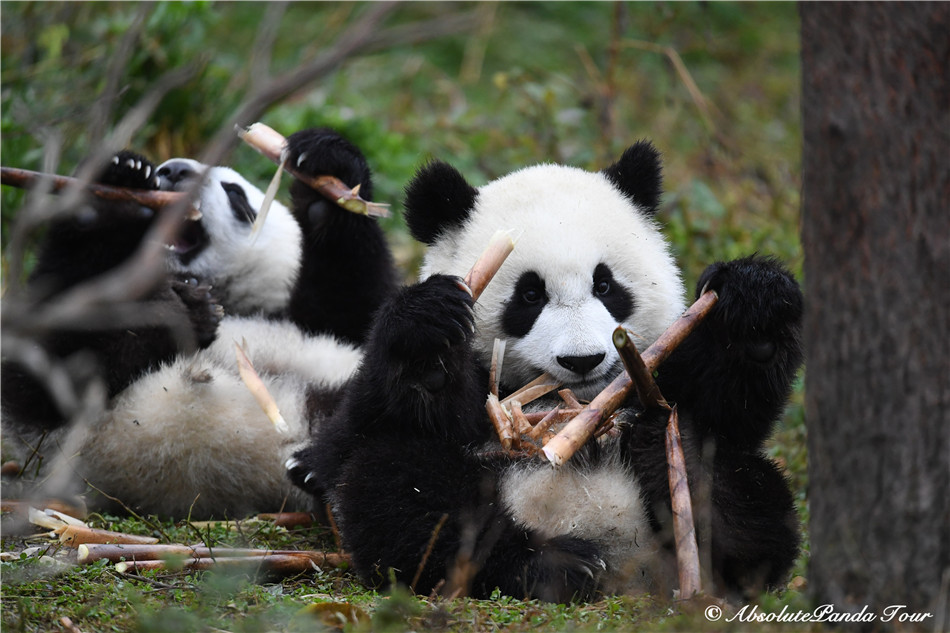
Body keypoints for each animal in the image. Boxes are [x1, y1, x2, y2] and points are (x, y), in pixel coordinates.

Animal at [0, 128, 394, 520]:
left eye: (235, 194)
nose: (175, 171)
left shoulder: (309, 315)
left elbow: (358, 303)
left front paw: (329, 172)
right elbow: (50, 365)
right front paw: (119, 188)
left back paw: (318, 464)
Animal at [292, 143, 804, 604]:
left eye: (605, 285)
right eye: (530, 295)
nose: (583, 360)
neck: (571, 403)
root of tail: (623, 555)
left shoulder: (668, 370)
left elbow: (730, 403)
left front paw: (753, 304)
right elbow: (356, 434)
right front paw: (428, 341)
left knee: (752, 497)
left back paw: (674, 464)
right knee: (401, 495)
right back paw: (556, 565)